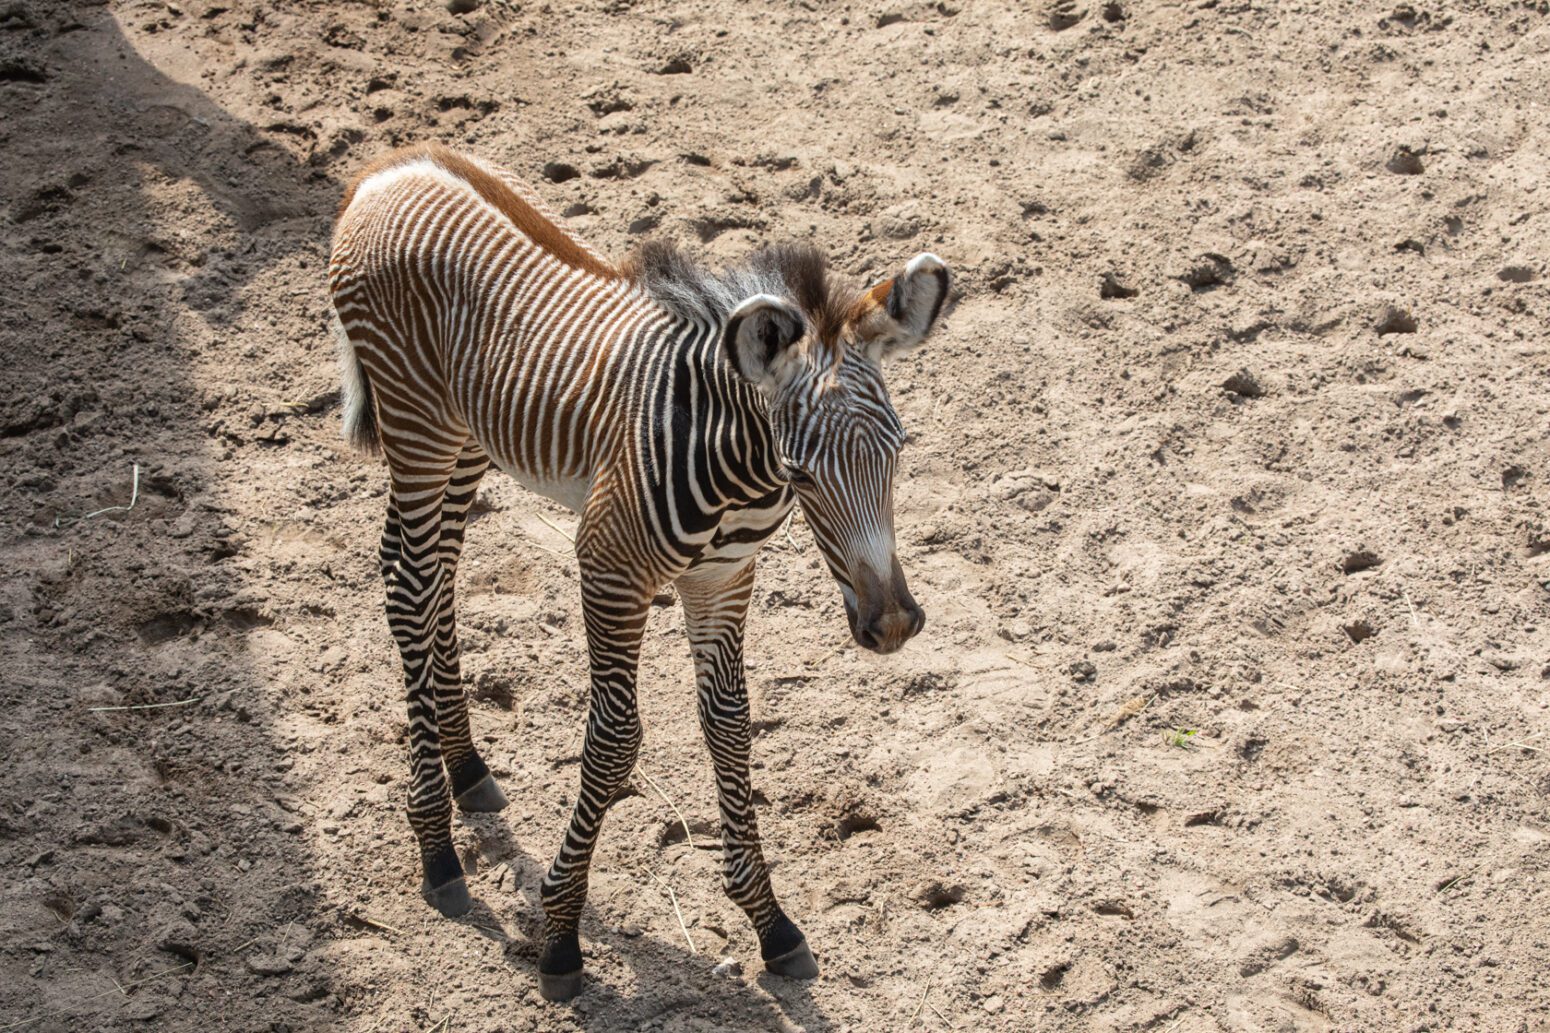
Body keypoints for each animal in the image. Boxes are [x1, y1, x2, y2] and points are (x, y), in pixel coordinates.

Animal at [328, 143, 951, 1001]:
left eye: (899, 448)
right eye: (801, 472)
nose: (890, 624)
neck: (733, 459)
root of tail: (390, 168)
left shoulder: (723, 576)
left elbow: (729, 723)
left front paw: (770, 922)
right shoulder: (609, 564)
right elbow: (618, 738)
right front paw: (560, 933)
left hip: (466, 434)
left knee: (431, 575)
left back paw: (468, 769)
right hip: (417, 427)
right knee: (411, 584)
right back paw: (437, 847)